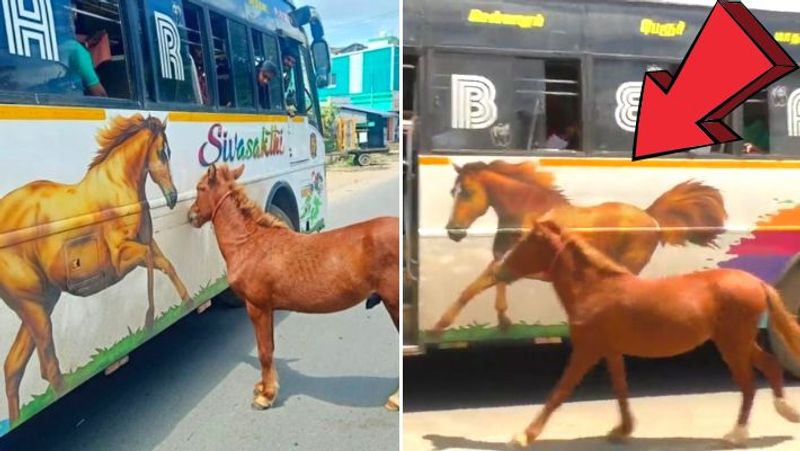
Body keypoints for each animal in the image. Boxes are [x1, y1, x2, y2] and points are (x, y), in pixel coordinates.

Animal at [0, 115, 191, 426]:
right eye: (163, 152)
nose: (173, 197)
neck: (119, 188)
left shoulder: (147, 243)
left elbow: (167, 265)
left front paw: (188, 303)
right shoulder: (122, 258)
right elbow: (153, 264)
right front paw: (149, 320)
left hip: (40, 304)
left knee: (13, 368)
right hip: (34, 308)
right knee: (47, 367)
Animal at [188, 165, 400, 414]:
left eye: (200, 188)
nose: (191, 216)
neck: (249, 243)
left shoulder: (257, 307)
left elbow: (264, 351)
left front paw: (266, 396)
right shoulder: (267, 308)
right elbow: (269, 347)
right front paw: (263, 387)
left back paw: (396, 399)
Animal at [440, 162, 728, 332]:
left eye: (466, 192)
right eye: (452, 192)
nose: (453, 231)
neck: (530, 214)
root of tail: (650, 216)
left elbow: (480, 284)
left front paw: (439, 326)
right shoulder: (507, 259)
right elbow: (488, 280)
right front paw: (502, 321)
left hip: (630, 263)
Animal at [454, 220, 800, 448]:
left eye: (528, 243)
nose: (498, 271)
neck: (595, 289)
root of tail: (756, 282)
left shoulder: (586, 349)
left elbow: (560, 392)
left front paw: (525, 435)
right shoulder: (610, 349)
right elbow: (620, 388)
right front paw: (622, 430)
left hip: (732, 342)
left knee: (748, 383)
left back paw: (737, 434)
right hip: (738, 340)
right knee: (768, 366)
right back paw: (786, 412)